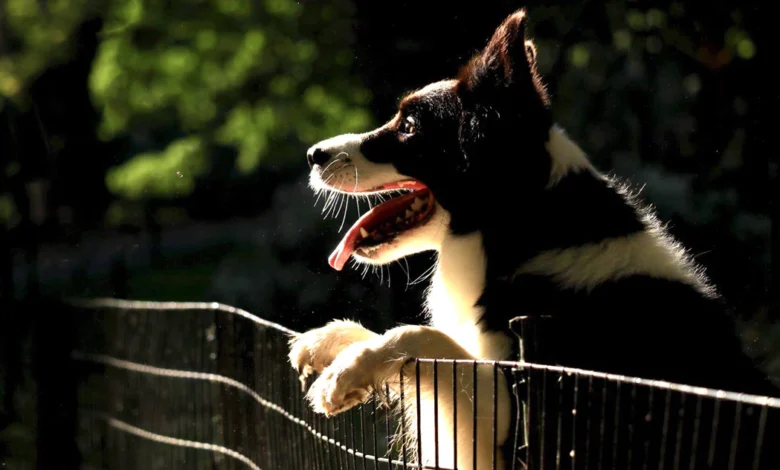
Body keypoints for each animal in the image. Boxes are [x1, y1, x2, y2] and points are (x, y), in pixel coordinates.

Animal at [288, 8, 780, 470]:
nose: (313, 155)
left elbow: (425, 336)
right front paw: (333, 339)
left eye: (409, 126)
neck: (521, 230)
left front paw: (348, 373)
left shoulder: (522, 419)